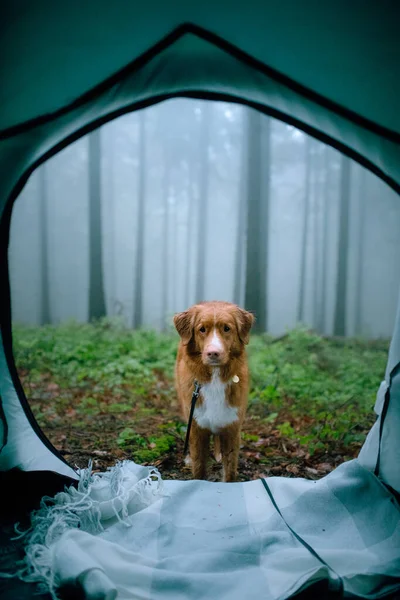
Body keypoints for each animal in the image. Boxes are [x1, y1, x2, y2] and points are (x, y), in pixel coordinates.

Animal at [172, 300, 253, 482]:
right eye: (202, 329)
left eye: (227, 328)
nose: (213, 353)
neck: (215, 378)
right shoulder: (197, 429)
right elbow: (199, 468)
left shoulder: (232, 428)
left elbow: (230, 471)